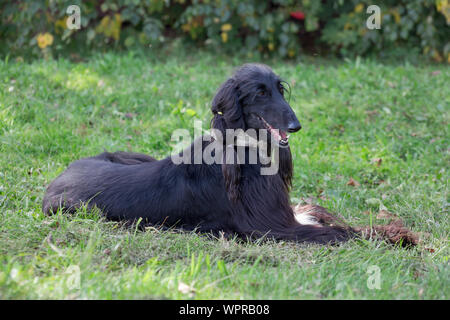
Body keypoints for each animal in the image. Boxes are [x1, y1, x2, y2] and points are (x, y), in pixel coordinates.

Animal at [43, 65, 352, 245]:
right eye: (260, 93)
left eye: (279, 89)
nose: (295, 125)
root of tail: (55, 180)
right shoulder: (268, 228)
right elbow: (340, 232)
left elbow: (315, 213)